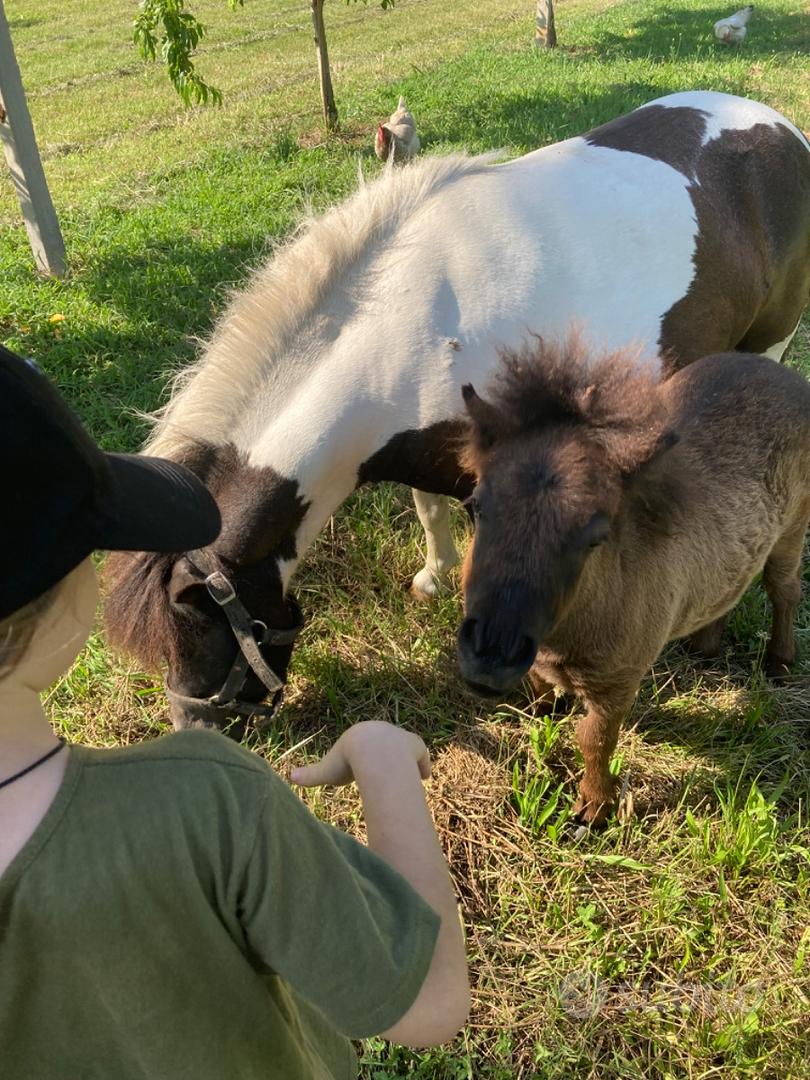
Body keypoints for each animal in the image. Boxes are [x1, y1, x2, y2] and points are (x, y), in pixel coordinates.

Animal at [104, 92, 810, 734]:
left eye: (200, 634)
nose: (194, 729)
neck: (409, 322)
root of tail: (780, 125)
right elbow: (428, 506)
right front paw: (433, 576)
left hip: (765, 348)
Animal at [460, 336, 810, 825]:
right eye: (475, 505)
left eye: (595, 536)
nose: (490, 657)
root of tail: (788, 376)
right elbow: (541, 686)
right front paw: (542, 712)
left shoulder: (619, 682)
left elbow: (594, 740)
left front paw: (594, 809)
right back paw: (704, 646)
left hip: (794, 528)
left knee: (784, 590)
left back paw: (779, 662)